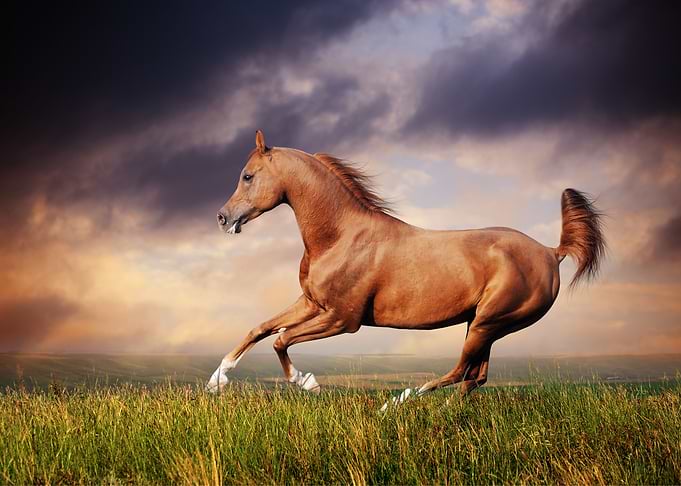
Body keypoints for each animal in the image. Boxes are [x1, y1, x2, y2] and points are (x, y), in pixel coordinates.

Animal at [207, 130, 606, 406]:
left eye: (247, 175)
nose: (223, 217)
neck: (341, 236)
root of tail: (551, 253)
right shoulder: (311, 303)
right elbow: (259, 329)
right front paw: (216, 381)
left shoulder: (342, 319)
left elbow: (281, 339)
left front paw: (308, 382)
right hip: (484, 326)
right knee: (475, 377)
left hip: (489, 323)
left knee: (461, 371)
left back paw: (397, 403)